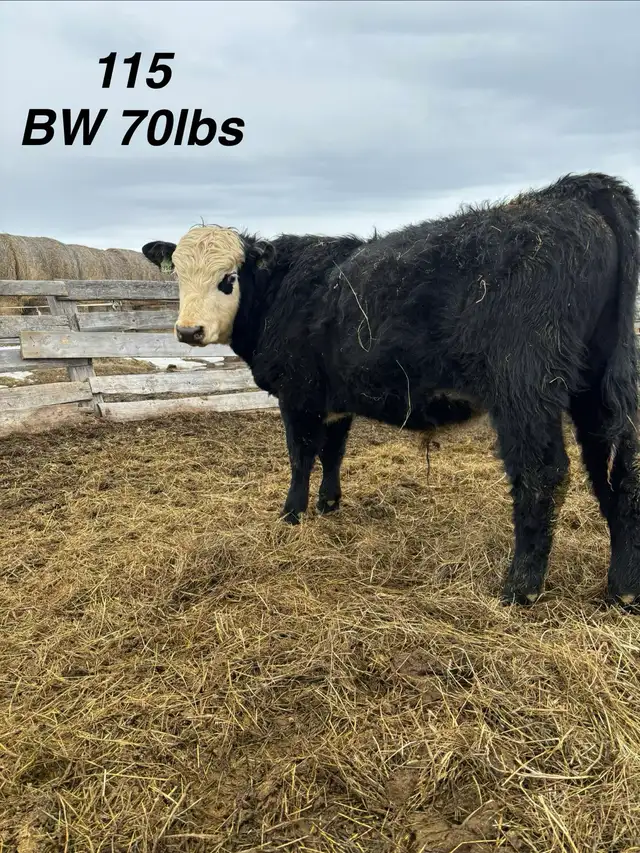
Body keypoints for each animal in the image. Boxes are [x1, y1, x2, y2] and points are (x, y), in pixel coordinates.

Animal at [142, 172, 640, 609]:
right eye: (178, 277)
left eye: (227, 279)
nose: (188, 331)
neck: (280, 292)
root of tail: (568, 192)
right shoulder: (334, 399)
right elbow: (333, 452)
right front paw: (329, 505)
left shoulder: (297, 395)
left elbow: (301, 456)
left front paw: (292, 514)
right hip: (598, 383)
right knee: (618, 469)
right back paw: (622, 589)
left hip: (525, 387)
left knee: (543, 474)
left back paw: (521, 589)